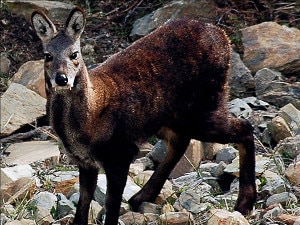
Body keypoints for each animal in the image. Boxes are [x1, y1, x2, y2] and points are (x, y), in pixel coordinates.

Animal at [31, 6, 256, 225]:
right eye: (47, 55)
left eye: (74, 54)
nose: (61, 79)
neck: (88, 122)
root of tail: (222, 36)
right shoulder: (85, 161)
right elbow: (83, 205)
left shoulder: (121, 152)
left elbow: (111, 205)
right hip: (171, 118)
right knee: (181, 141)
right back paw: (141, 197)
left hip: (204, 106)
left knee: (244, 126)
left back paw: (245, 203)